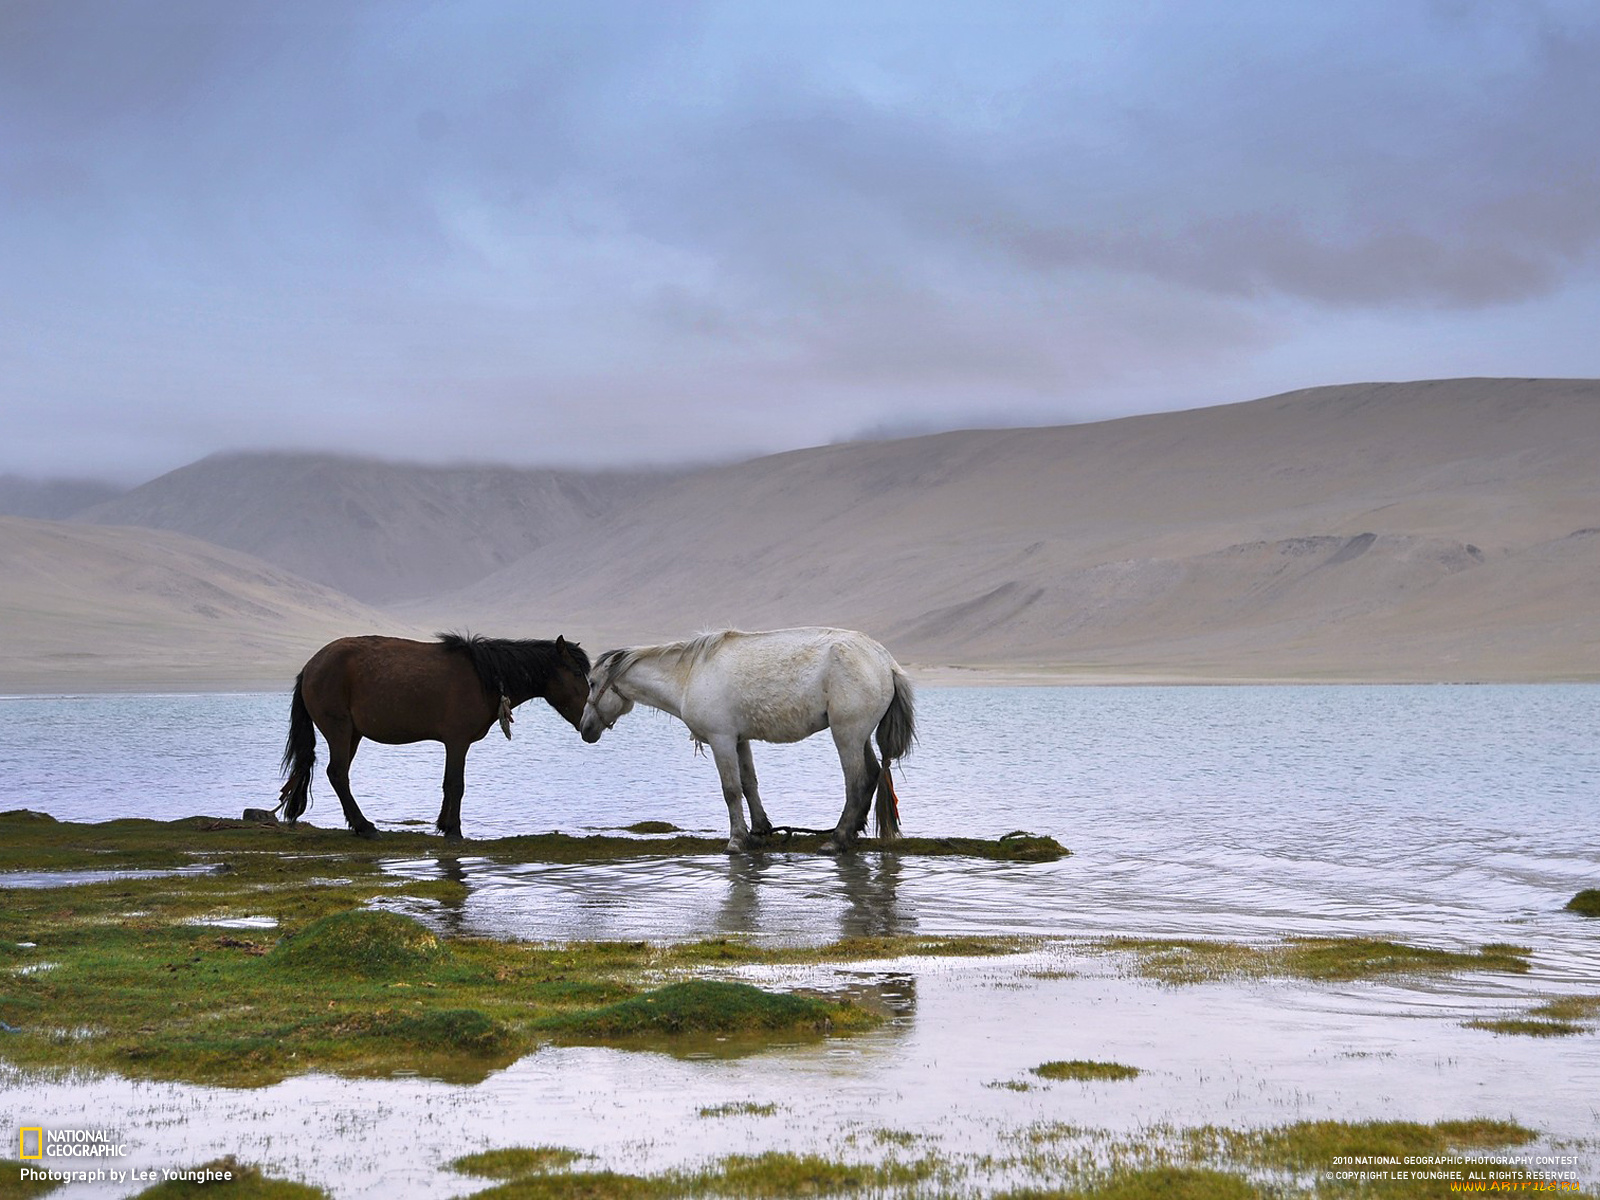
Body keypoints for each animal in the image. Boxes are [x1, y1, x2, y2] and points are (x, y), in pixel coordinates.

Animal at [278, 633, 592, 838]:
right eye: (577, 674)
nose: (589, 722)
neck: (486, 677)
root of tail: (310, 667)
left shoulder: (452, 744)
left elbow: (446, 784)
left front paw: (443, 823)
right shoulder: (457, 742)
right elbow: (456, 784)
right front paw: (454, 829)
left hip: (353, 733)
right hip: (340, 730)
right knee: (338, 774)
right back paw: (364, 826)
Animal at [582, 630, 921, 857]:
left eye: (593, 683)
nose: (585, 729)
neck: (689, 676)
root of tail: (887, 663)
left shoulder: (721, 740)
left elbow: (731, 790)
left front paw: (736, 840)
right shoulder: (739, 740)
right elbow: (749, 785)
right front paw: (759, 832)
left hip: (846, 735)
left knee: (857, 781)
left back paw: (837, 839)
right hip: (859, 736)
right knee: (872, 774)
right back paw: (851, 833)